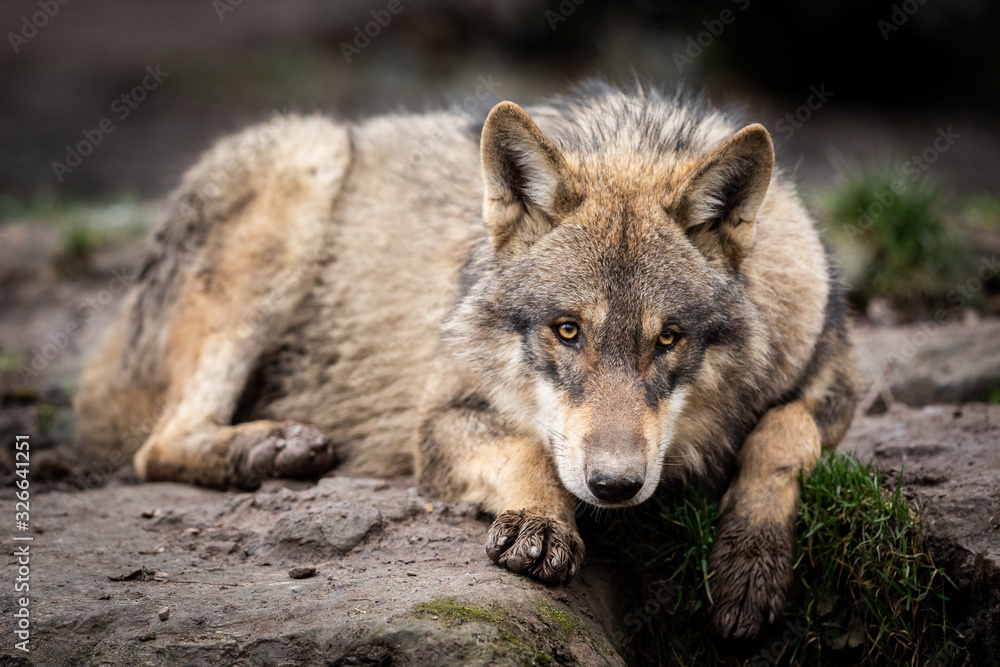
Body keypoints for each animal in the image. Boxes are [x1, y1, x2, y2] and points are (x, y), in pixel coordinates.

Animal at [76, 83, 860, 640]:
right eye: (567, 331)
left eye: (667, 340)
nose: (613, 485)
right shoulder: (440, 421)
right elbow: (530, 450)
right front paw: (541, 525)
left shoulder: (836, 381)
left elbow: (781, 434)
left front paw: (748, 567)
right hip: (303, 165)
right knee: (157, 444)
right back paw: (270, 448)